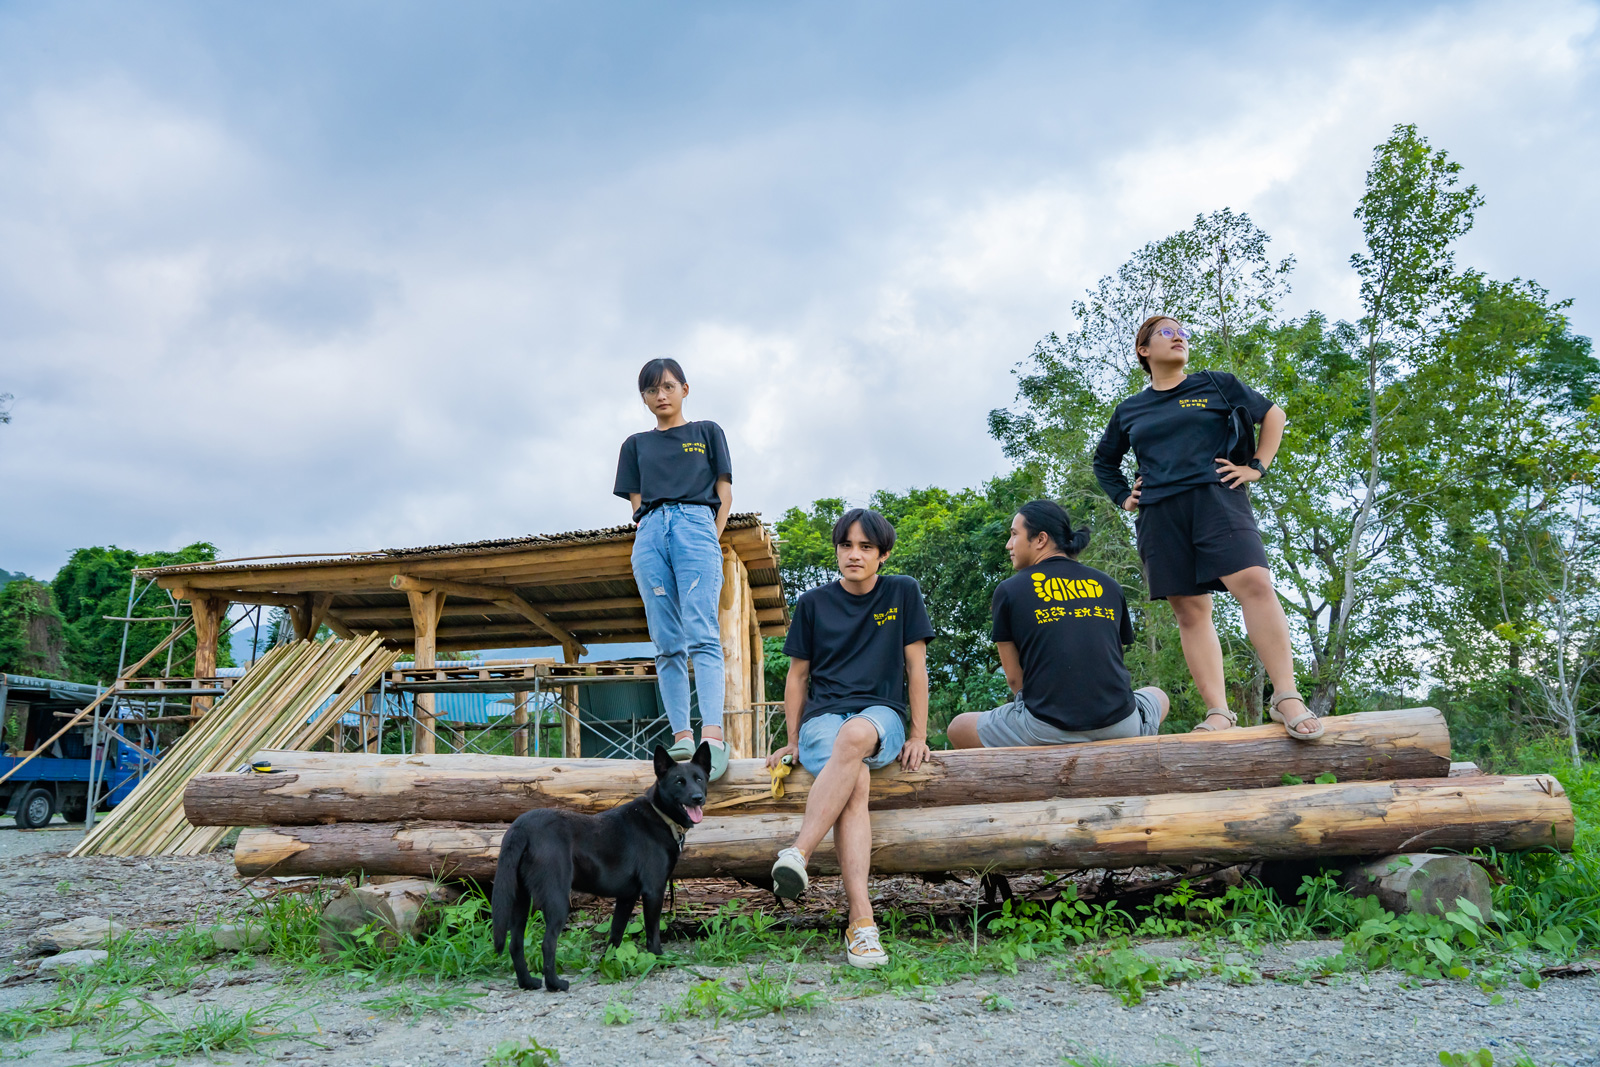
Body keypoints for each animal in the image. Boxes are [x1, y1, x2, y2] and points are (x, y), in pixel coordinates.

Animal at [489, 739, 710, 991]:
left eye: (699, 779)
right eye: (679, 781)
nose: (697, 798)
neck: (660, 815)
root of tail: (521, 827)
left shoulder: (627, 897)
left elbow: (615, 934)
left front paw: (609, 964)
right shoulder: (653, 890)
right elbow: (653, 933)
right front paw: (659, 960)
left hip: (520, 899)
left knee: (515, 943)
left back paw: (528, 982)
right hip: (556, 898)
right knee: (548, 943)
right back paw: (555, 984)